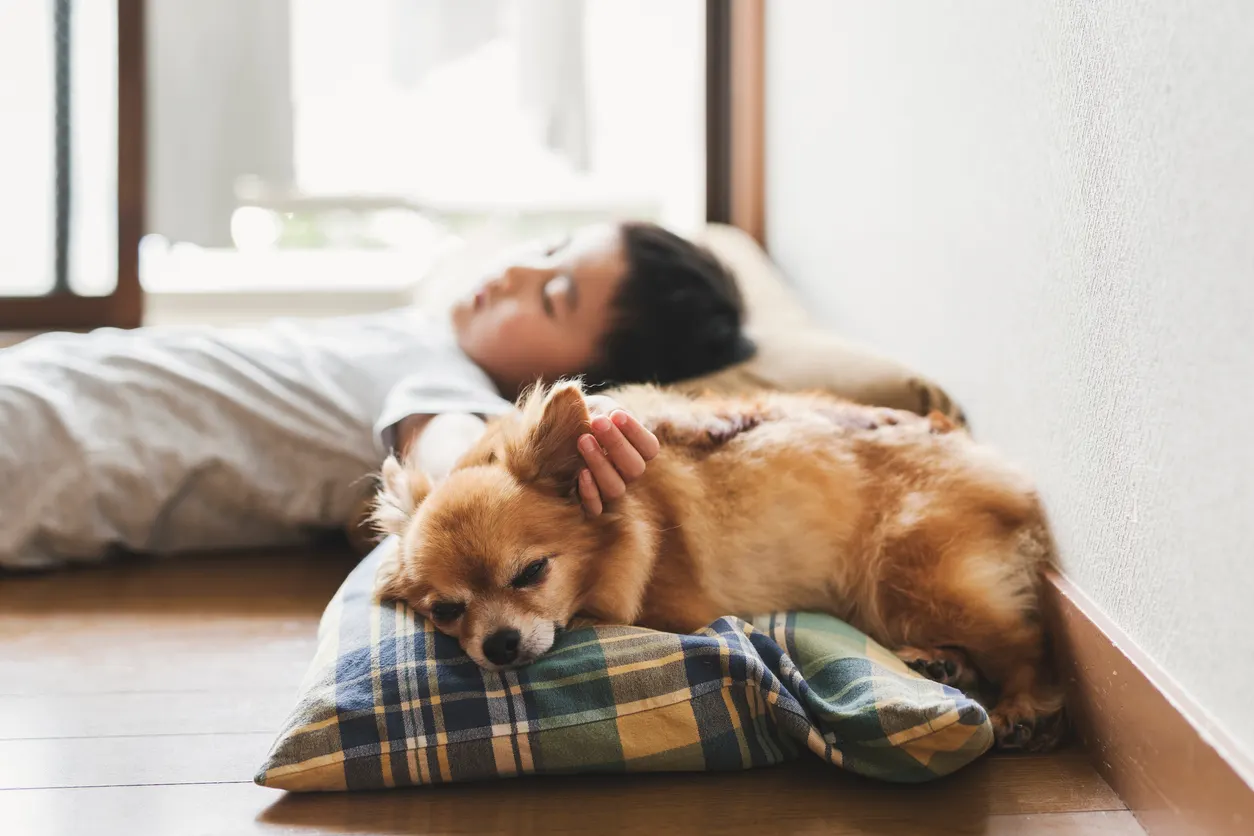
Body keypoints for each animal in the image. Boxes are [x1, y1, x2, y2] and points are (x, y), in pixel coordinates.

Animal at [373, 378, 1068, 752]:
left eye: (530, 573)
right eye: (447, 611)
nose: (499, 644)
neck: (637, 522)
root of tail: (977, 452)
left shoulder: (680, 612)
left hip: (906, 576)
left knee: (1025, 642)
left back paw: (1018, 708)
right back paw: (938, 662)